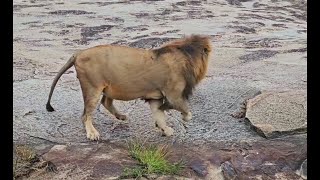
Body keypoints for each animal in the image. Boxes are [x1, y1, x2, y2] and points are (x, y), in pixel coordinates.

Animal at [45, 34, 212, 141]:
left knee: (105, 102)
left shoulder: (155, 98)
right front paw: (182, 118)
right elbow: (186, 110)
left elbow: (159, 114)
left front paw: (165, 130)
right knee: (86, 115)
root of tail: (78, 53)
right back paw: (92, 133)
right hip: (92, 88)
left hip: (109, 86)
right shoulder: (174, 95)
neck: (186, 54)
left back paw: (121, 116)